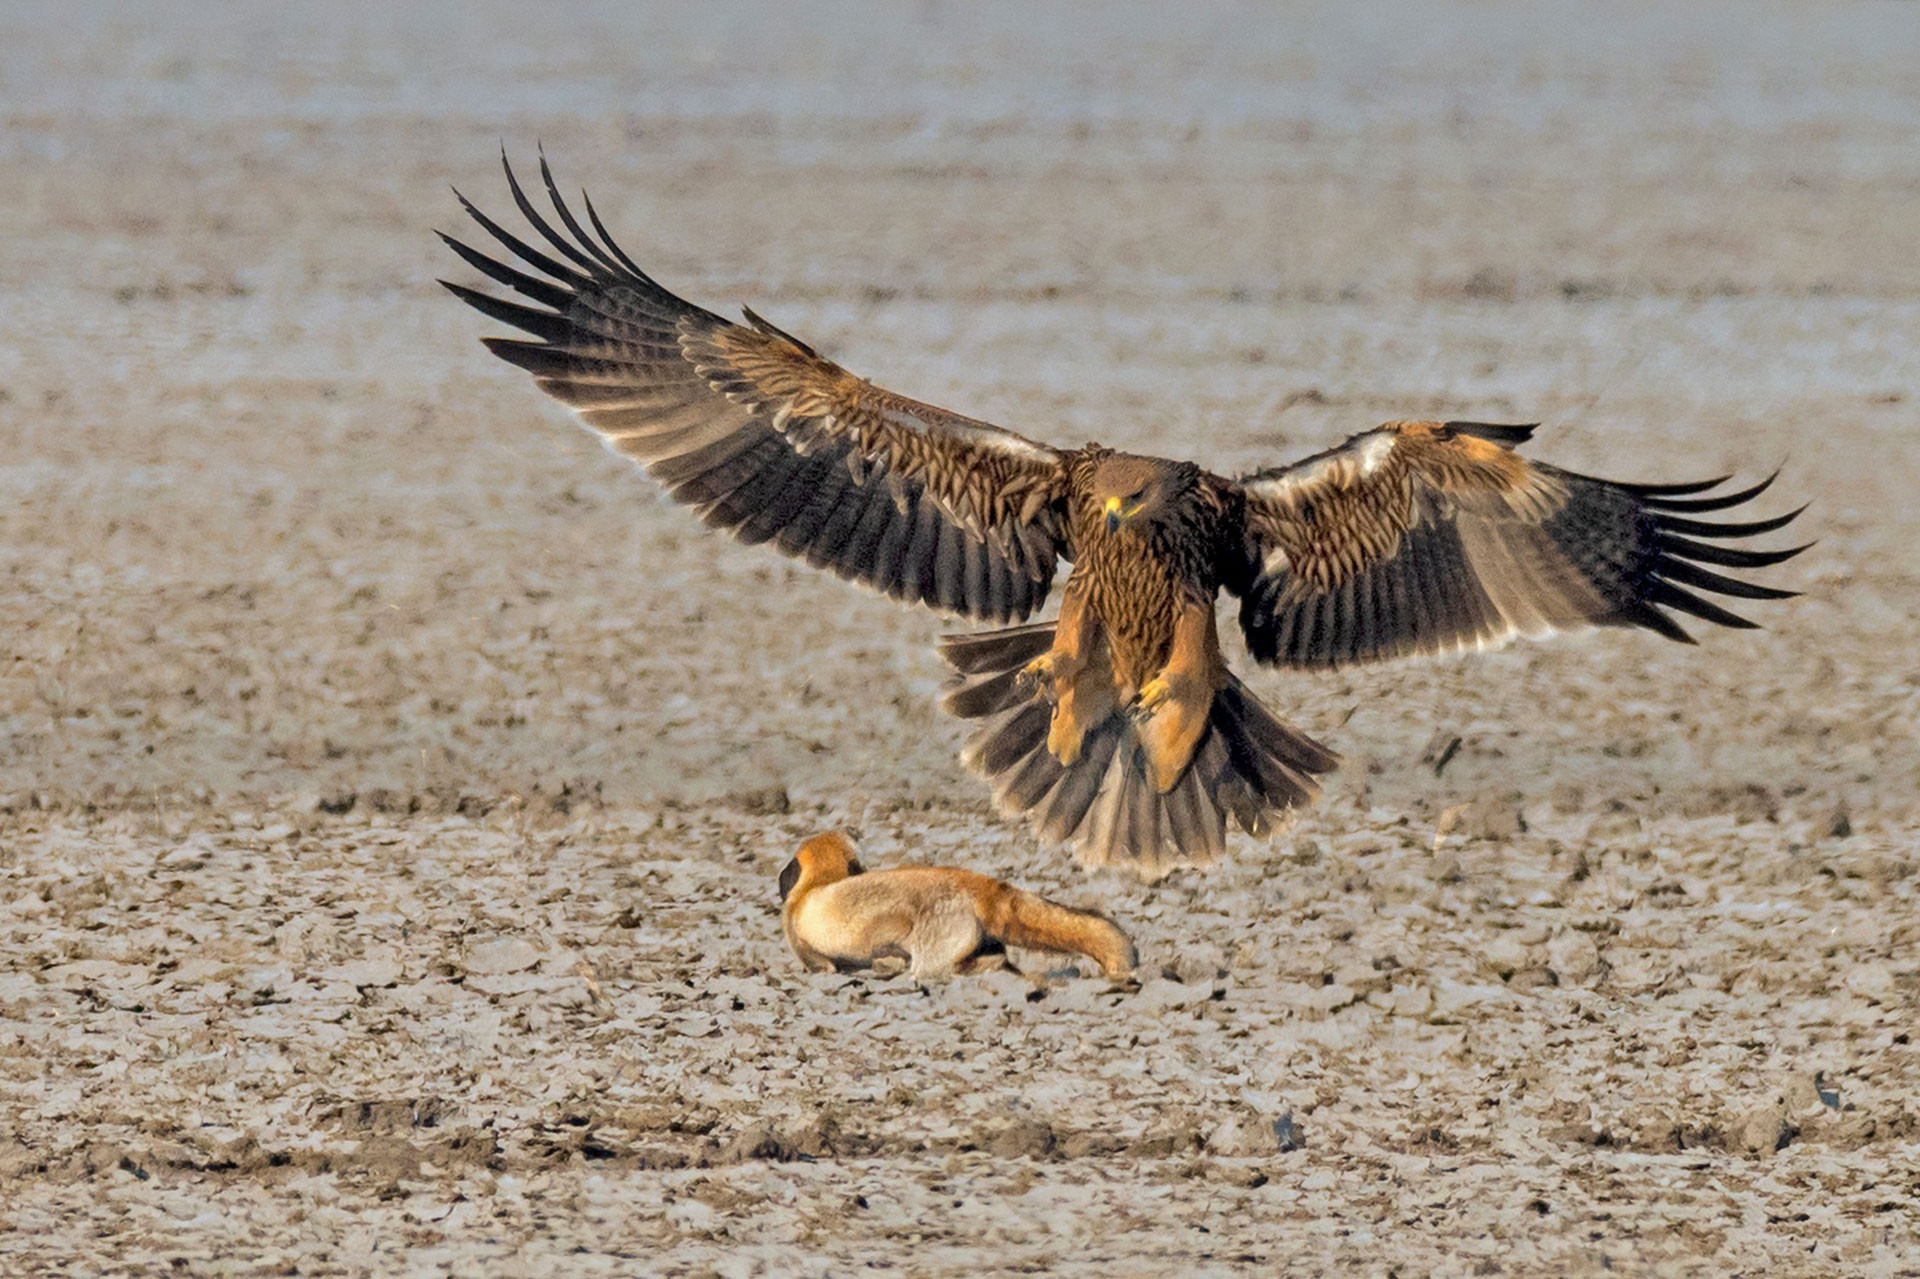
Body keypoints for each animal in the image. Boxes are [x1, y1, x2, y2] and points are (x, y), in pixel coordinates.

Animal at [778, 830, 1137, 981]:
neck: (816, 885)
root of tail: (980, 884)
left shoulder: (804, 945)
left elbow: (823, 965)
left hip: (932, 957)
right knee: (1000, 958)